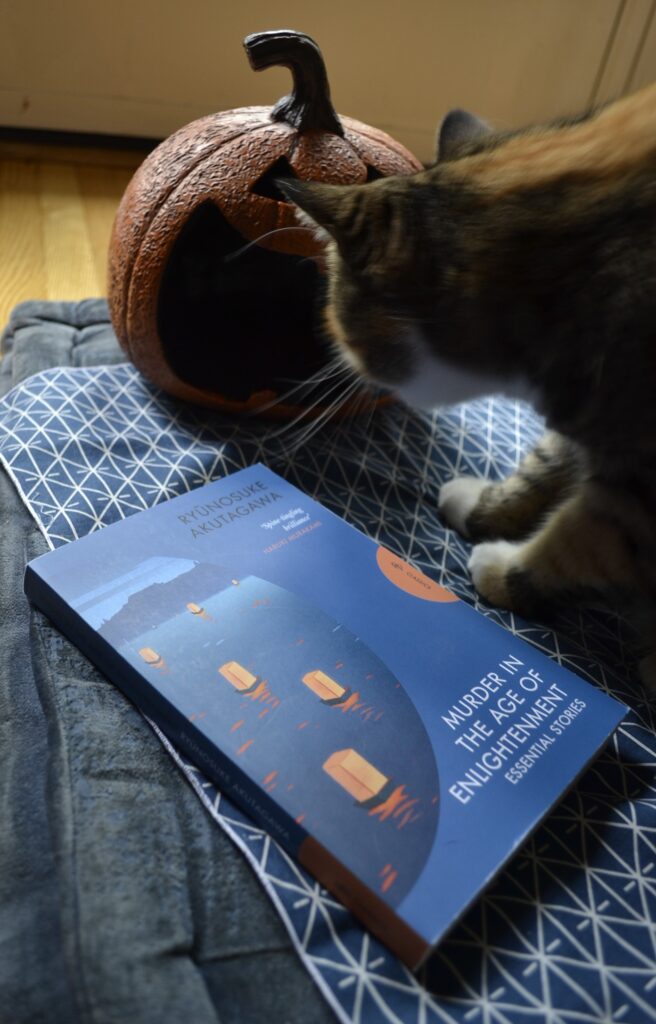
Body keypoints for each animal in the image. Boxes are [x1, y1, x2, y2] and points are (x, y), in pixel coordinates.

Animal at [282, 79, 656, 688]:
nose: (334, 350)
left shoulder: (638, 493)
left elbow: (581, 539)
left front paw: (503, 570)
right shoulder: (582, 422)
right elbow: (542, 466)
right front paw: (484, 509)